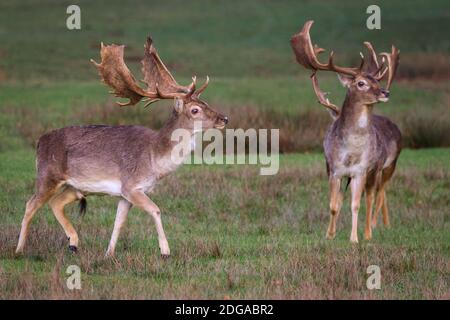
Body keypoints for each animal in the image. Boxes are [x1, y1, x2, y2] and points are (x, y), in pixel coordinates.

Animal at [15, 37, 229, 258]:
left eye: (205, 102)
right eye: (195, 110)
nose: (224, 119)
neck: (154, 158)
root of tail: (40, 141)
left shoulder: (125, 194)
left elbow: (119, 222)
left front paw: (108, 254)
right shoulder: (131, 185)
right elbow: (156, 209)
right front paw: (165, 251)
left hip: (75, 187)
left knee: (56, 202)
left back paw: (73, 243)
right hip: (48, 175)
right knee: (31, 204)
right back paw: (19, 249)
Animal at [290, 21, 402, 242]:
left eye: (377, 81)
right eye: (361, 83)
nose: (385, 92)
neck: (350, 152)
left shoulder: (360, 171)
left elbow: (356, 204)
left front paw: (354, 239)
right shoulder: (334, 170)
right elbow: (334, 204)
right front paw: (329, 234)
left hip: (379, 168)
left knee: (372, 196)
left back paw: (369, 232)